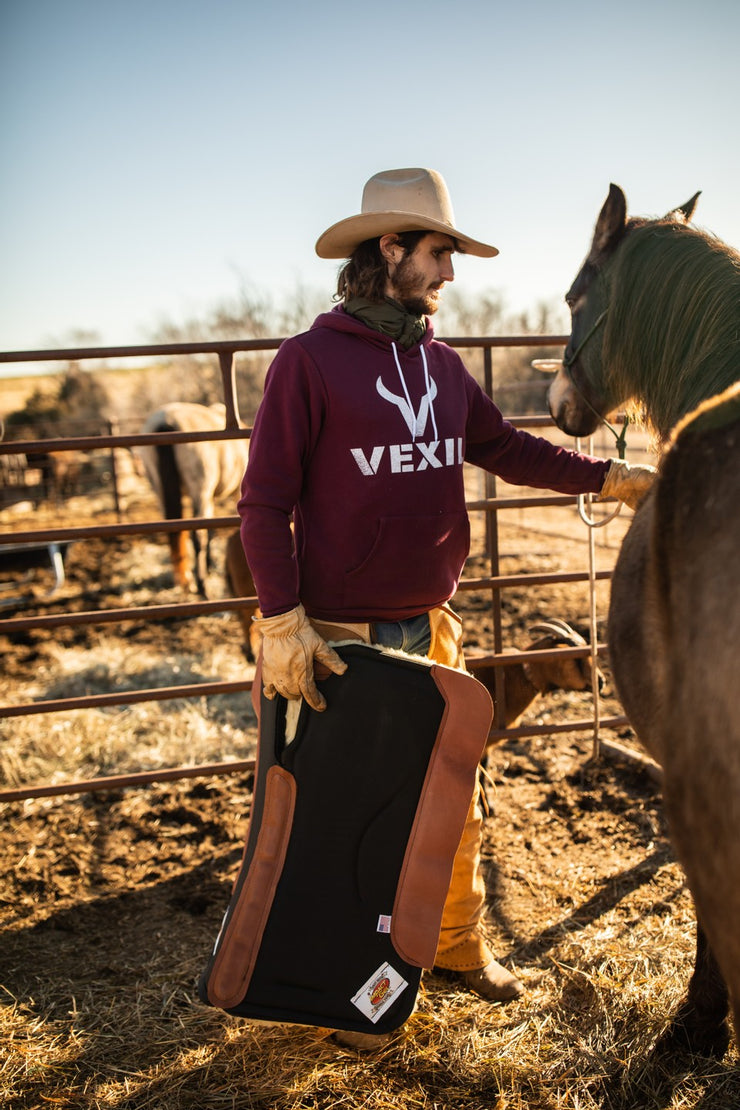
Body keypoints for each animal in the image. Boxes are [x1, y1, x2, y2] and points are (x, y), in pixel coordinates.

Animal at [138, 404, 251, 599]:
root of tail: (166, 422)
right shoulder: (235, 492)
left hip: (161, 491)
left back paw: (185, 578)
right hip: (200, 491)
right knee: (198, 535)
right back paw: (201, 585)